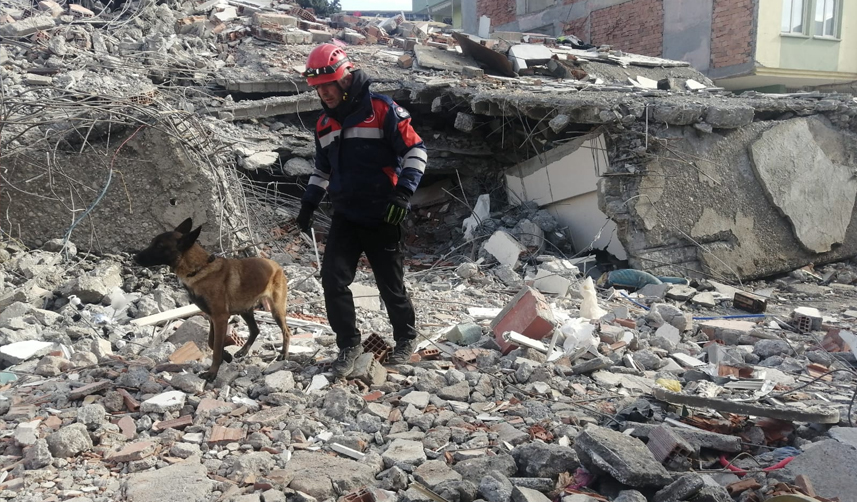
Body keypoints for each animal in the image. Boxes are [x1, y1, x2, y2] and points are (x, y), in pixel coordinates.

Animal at [134, 217, 292, 380]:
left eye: (159, 246)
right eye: (153, 242)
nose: (135, 257)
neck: (198, 270)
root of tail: (275, 264)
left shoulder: (220, 318)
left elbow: (215, 348)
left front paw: (212, 373)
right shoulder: (213, 318)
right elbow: (211, 342)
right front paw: (226, 355)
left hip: (276, 310)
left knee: (286, 331)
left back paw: (283, 354)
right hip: (245, 310)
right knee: (255, 330)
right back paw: (243, 351)